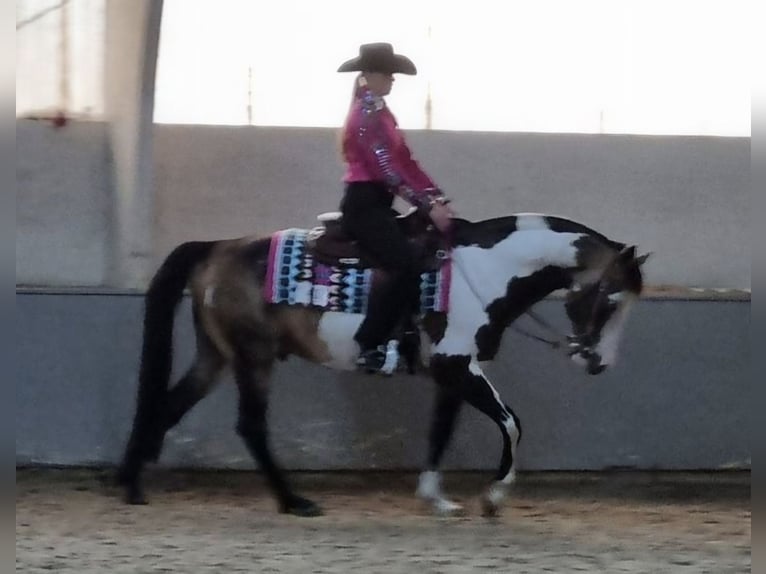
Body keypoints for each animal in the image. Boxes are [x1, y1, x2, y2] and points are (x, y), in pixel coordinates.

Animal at [117, 211, 649, 517]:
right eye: (611, 299)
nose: (599, 362)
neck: (484, 271)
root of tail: (216, 247)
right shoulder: (457, 365)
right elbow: (512, 423)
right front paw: (493, 497)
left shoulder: (452, 372)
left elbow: (442, 431)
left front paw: (436, 496)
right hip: (255, 356)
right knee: (250, 425)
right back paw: (294, 501)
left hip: (217, 355)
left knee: (168, 406)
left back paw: (132, 485)